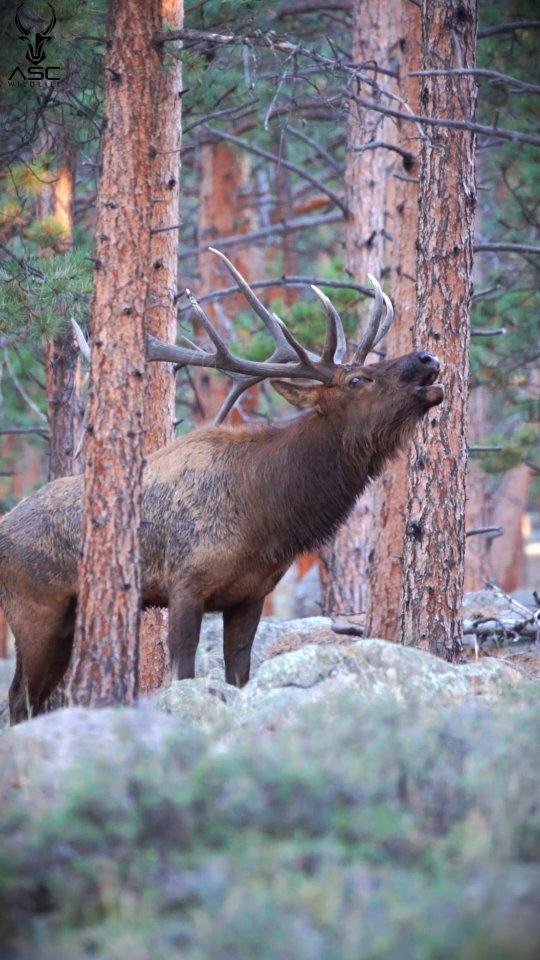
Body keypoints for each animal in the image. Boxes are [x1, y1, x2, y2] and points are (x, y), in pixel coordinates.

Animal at [0, 250, 443, 724]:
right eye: (357, 380)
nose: (426, 357)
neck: (265, 516)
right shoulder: (184, 582)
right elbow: (183, 673)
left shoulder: (251, 594)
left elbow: (240, 675)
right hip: (34, 607)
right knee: (20, 697)